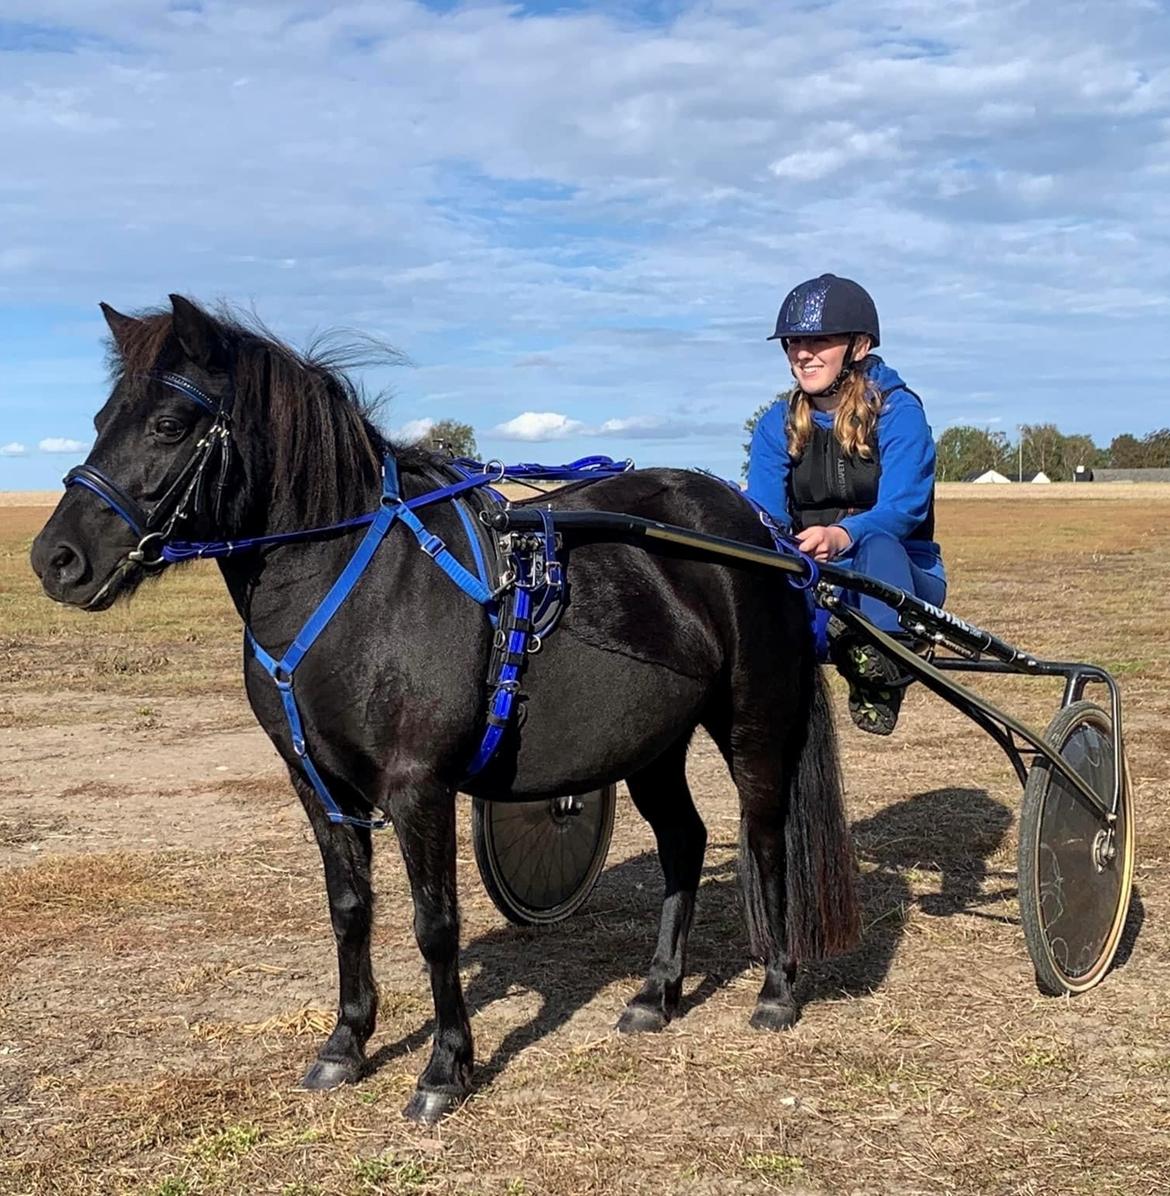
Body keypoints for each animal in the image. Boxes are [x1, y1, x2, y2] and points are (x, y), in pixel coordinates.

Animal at [29, 296, 856, 1119]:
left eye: (170, 424)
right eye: (102, 416)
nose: (55, 559)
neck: (356, 585)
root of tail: (763, 533)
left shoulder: (417, 787)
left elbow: (435, 924)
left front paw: (445, 1067)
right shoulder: (319, 788)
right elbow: (348, 909)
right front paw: (346, 1044)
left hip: (751, 721)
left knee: (765, 840)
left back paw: (777, 989)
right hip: (651, 743)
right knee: (684, 842)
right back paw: (656, 992)